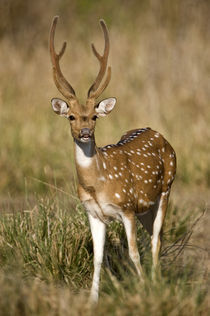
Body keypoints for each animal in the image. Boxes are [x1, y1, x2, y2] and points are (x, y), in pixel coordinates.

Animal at [50, 16, 176, 302]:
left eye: (94, 116)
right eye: (71, 116)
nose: (85, 132)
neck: (97, 182)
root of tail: (157, 132)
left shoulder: (126, 207)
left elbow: (133, 253)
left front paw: (143, 291)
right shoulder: (93, 213)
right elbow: (98, 258)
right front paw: (93, 300)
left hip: (166, 189)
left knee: (156, 239)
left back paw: (156, 283)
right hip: (146, 208)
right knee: (157, 235)